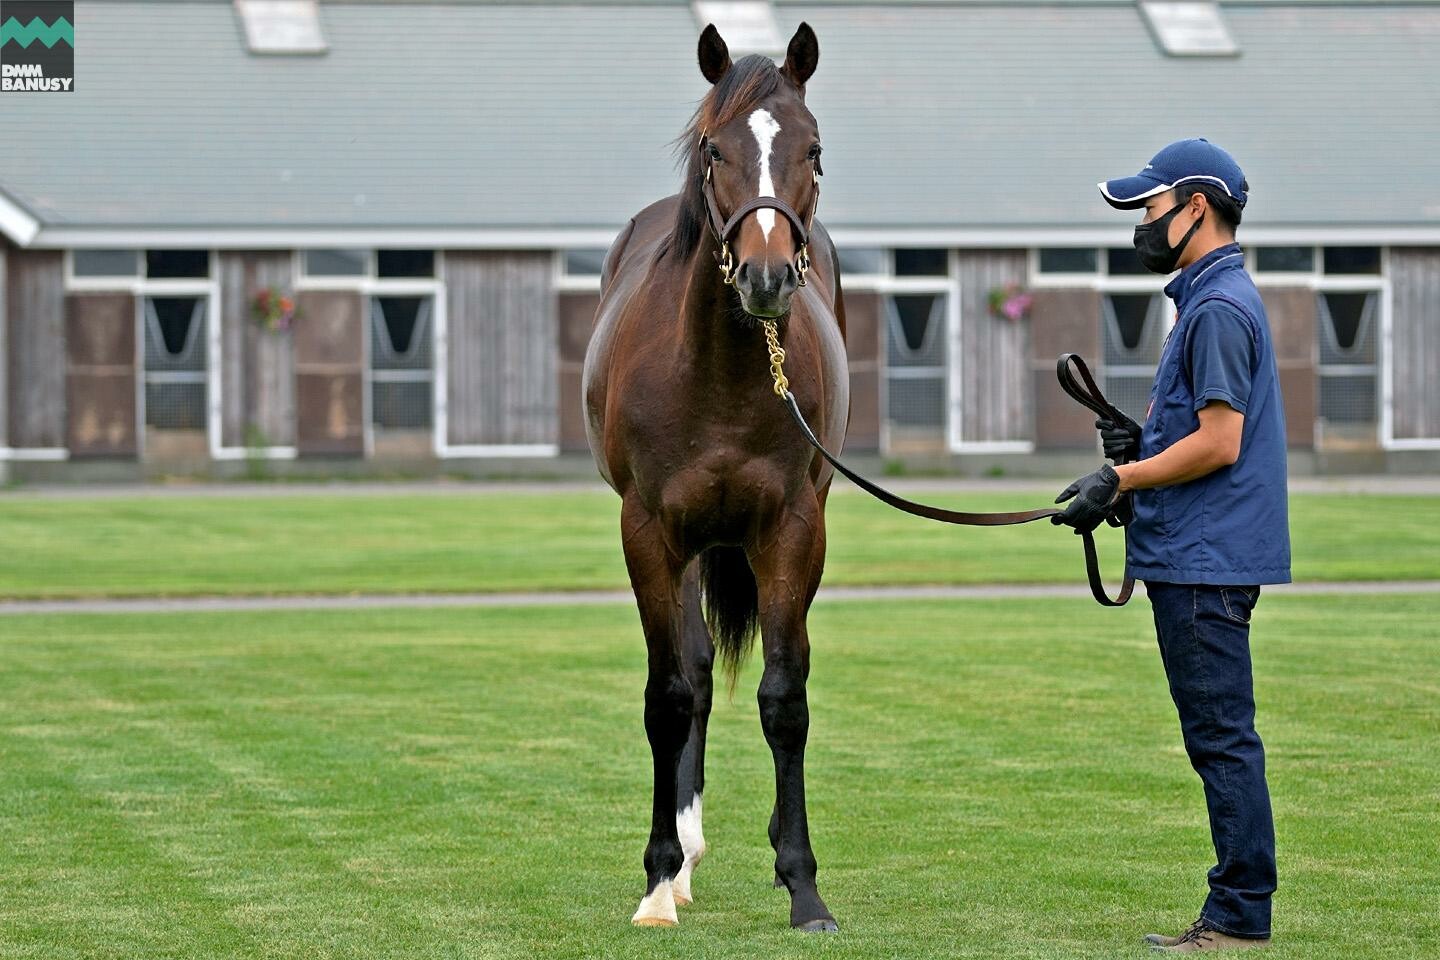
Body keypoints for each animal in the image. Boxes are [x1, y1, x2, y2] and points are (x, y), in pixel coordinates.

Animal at [581, 20, 846, 932]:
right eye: (714, 150)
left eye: (813, 149)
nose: (765, 277)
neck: (724, 373)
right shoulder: (649, 532)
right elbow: (669, 694)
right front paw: (658, 878)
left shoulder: (794, 530)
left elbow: (785, 698)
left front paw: (804, 885)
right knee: (692, 673)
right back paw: (685, 854)